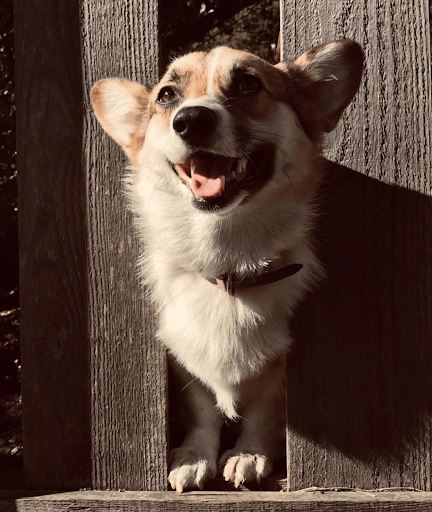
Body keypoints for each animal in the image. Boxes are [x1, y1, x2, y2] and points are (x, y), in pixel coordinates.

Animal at [93, 41, 362, 492]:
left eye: (248, 84)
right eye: (167, 96)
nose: (191, 120)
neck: (227, 263)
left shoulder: (279, 374)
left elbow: (263, 412)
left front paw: (248, 454)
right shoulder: (185, 363)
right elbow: (204, 409)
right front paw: (194, 457)